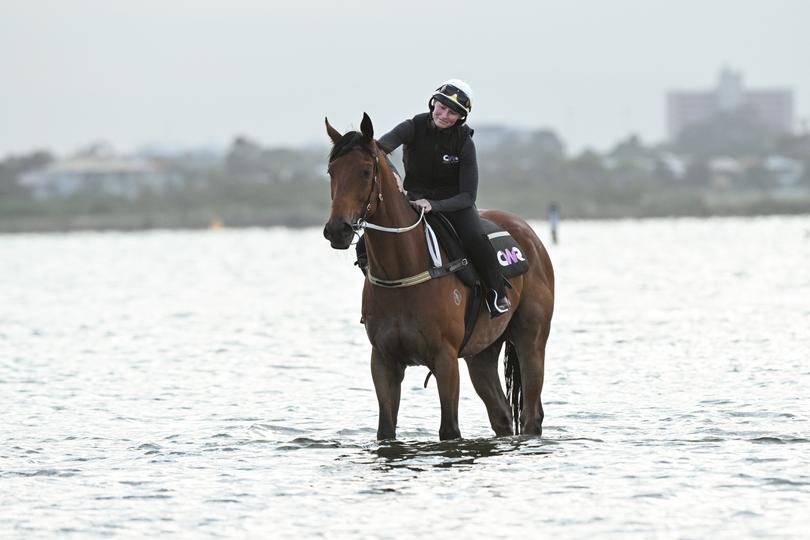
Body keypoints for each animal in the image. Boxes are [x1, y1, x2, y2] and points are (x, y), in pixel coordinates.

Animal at [322, 113, 556, 438]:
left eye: (366, 171)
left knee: (531, 415)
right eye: (331, 171)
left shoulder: (445, 361)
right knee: (501, 415)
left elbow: (449, 430)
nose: (337, 230)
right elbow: (386, 430)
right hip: (481, 354)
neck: (404, 270)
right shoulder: (383, 361)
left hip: (531, 341)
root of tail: (530, 236)